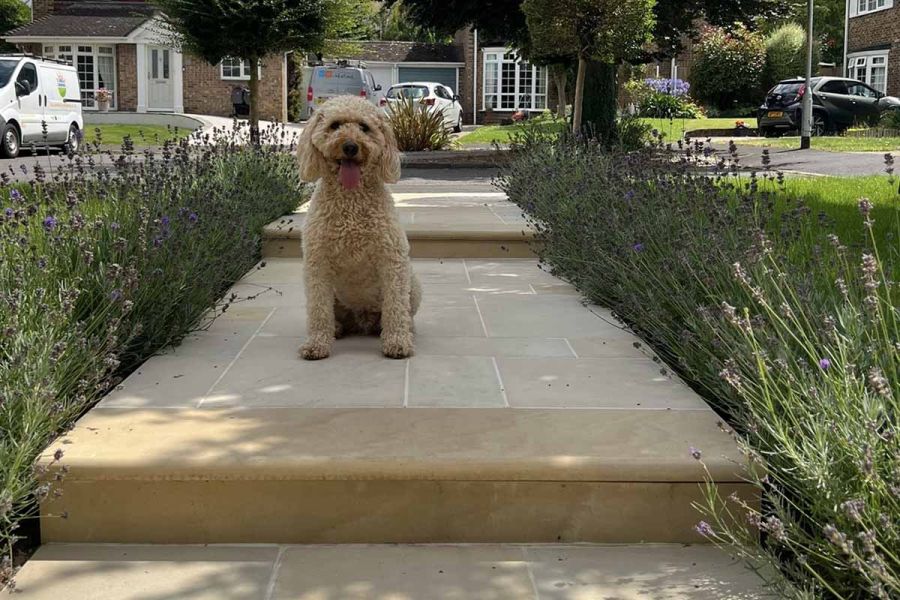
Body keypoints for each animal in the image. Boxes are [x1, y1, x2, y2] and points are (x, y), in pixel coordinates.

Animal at [296, 97, 422, 360]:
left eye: (364, 127)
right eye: (335, 125)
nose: (351, 146)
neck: (351, 203)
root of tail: (362, 318)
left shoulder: (392, 261)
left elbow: (395, 306)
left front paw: (397, 342)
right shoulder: (317, 264)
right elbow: (318, 310)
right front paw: (316, 344)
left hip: (413, 284)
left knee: (402, 311)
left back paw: (404, 329)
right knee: (331, 314)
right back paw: (336, 328)